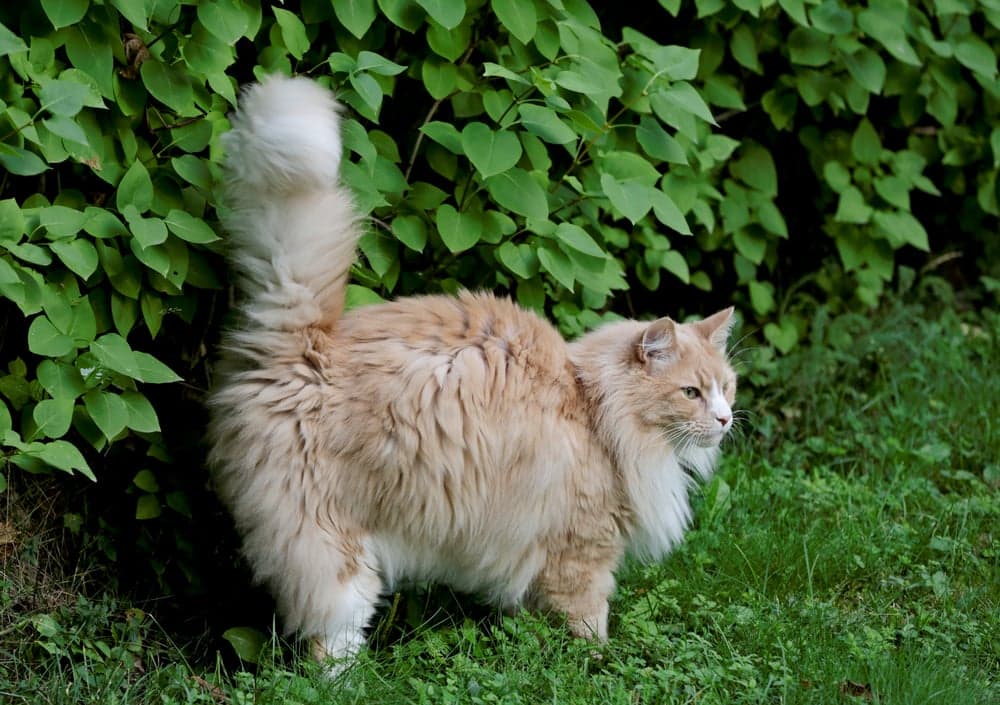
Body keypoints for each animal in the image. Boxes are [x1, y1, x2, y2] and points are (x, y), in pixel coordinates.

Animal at [207, 74, 740, 668]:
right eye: (690, 392)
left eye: (725, 388)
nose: (724, 420)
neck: (595, 408)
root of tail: (306, 344)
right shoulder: (582, 553)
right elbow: (590, 623)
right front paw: (598, 666)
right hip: (335, 551)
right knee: (329, 638)